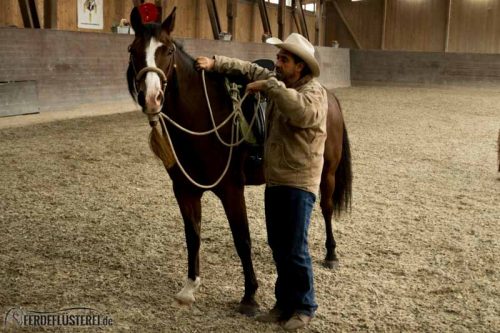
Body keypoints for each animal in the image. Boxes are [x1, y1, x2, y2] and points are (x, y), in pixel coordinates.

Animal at [125, 7, 352, 314]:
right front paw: (190, 286)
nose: (151, 97)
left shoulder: (231, 190)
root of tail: (329, 95)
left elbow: (241, 238)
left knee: (326, 209)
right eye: (133, 49)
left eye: (168, 50)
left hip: (327, 172)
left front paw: (250, 296)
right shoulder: (184, 190)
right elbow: (192, 235)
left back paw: (331, 254)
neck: (204, 117)